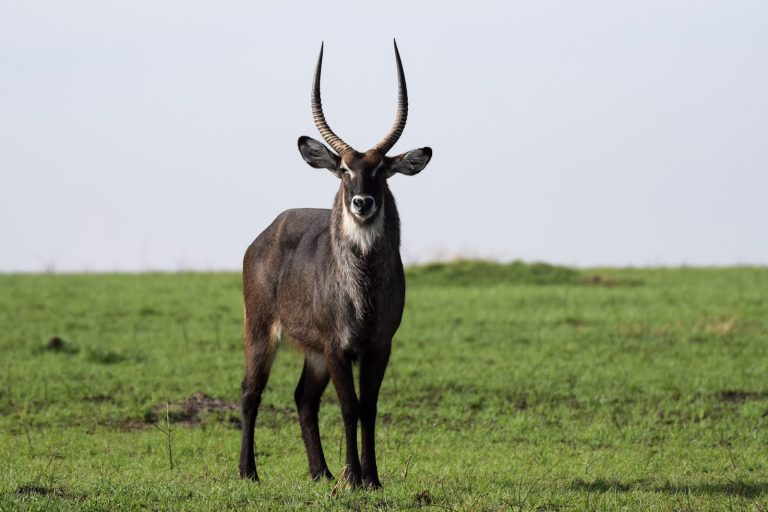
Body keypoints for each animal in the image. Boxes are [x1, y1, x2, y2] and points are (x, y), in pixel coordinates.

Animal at [239, 41, 432, 489]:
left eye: (381, 170)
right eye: (344, 169)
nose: (362, 203)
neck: (362, 291)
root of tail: (264, 235)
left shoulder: (379, 345)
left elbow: (369, 408)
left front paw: (371, 478)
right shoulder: (337, 345)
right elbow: (349, 407)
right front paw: (354, 478)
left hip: (313, 353)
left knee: (303, 399)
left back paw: (320, 472)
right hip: (261, 330)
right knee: (250, 392)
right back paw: (248, 472)